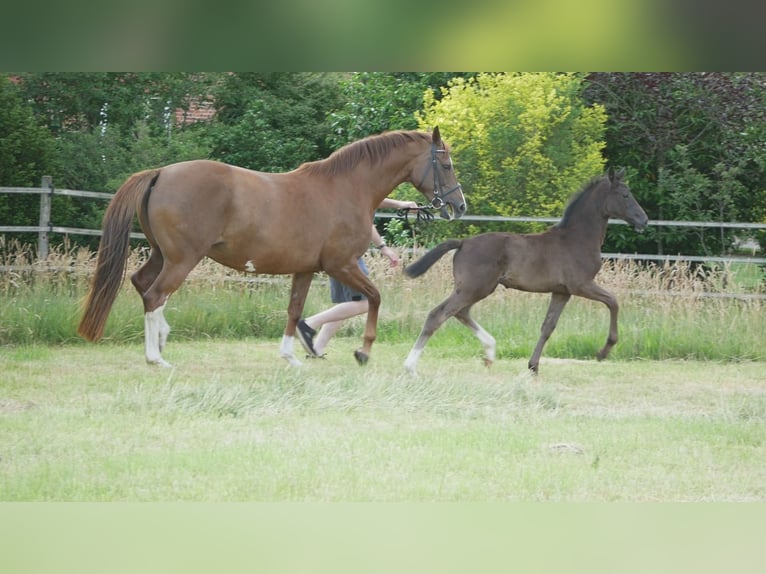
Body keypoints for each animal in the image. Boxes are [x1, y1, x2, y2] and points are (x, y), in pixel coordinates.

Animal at [78, 127, 466, 367]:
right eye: (446, 164)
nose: (458, 206)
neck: (345, 188)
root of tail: (160, 173)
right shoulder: (341, 265)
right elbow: (374, 298)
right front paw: (364, 351)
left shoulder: (306, 269)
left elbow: (294, 311)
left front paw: (291, 356)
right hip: (181, 259)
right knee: (155, 294)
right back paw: (155, 357)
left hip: (162, 255)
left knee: (143, 285)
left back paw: (160, 341)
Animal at [402, 168, 648, 375]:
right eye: (625, 195)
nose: (643, 220)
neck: (577, 239)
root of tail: (463, 243)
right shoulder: (581, 285)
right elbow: (613, 301)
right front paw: (604, 351)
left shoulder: (562, 291)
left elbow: (548, 326)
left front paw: (533, 367)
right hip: (475, 287)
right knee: (439, 314)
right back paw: (410, 367)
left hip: (476, 288)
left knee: (461, 312)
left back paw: (490, 352)